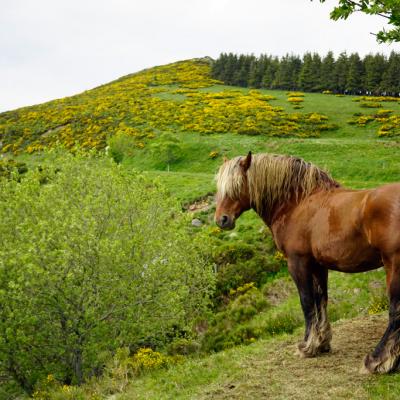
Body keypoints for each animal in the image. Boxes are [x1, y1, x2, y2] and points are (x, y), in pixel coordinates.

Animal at [216, 152, 400, 374]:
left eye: (237, 185)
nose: (222, 220)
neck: (298, 203)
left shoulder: (298, 262)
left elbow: (306, 301)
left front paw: (307, 346)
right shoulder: (318, 265)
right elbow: (321, 300)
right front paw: (321, 342)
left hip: (394, 264)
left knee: (395, 311)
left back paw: (378, 360)